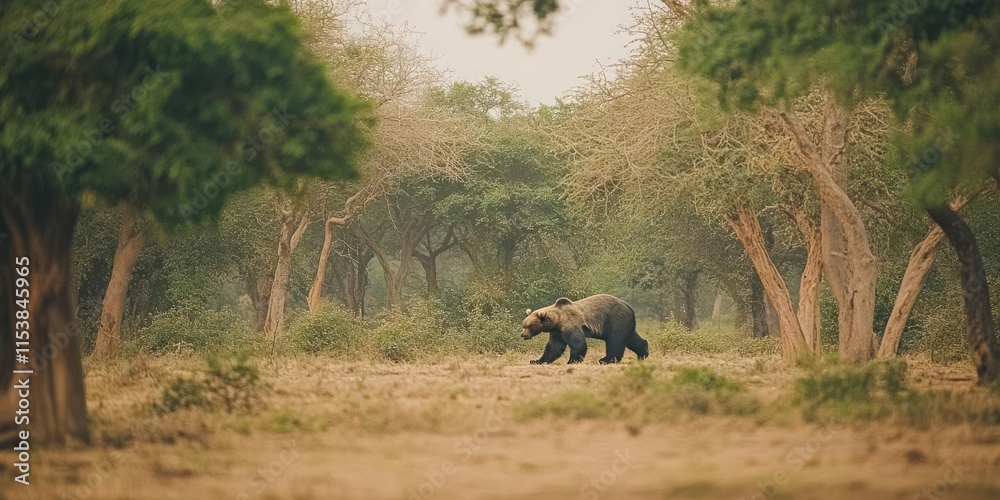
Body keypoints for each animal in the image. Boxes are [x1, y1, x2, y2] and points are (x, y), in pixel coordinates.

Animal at [521, 294, 649, 364]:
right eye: (524, 325)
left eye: (528, 326)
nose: (523, 335)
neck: (557, 319)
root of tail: (630, 308)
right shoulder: (557, 331)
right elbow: (554, 347)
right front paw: (536, 361)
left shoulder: (570, 322)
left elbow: (577, 342)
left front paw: (572, 361)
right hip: (625, 323)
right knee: (631, 338)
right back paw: (643, 353)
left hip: (615, 319)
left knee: (615, 340)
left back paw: (605, 360)